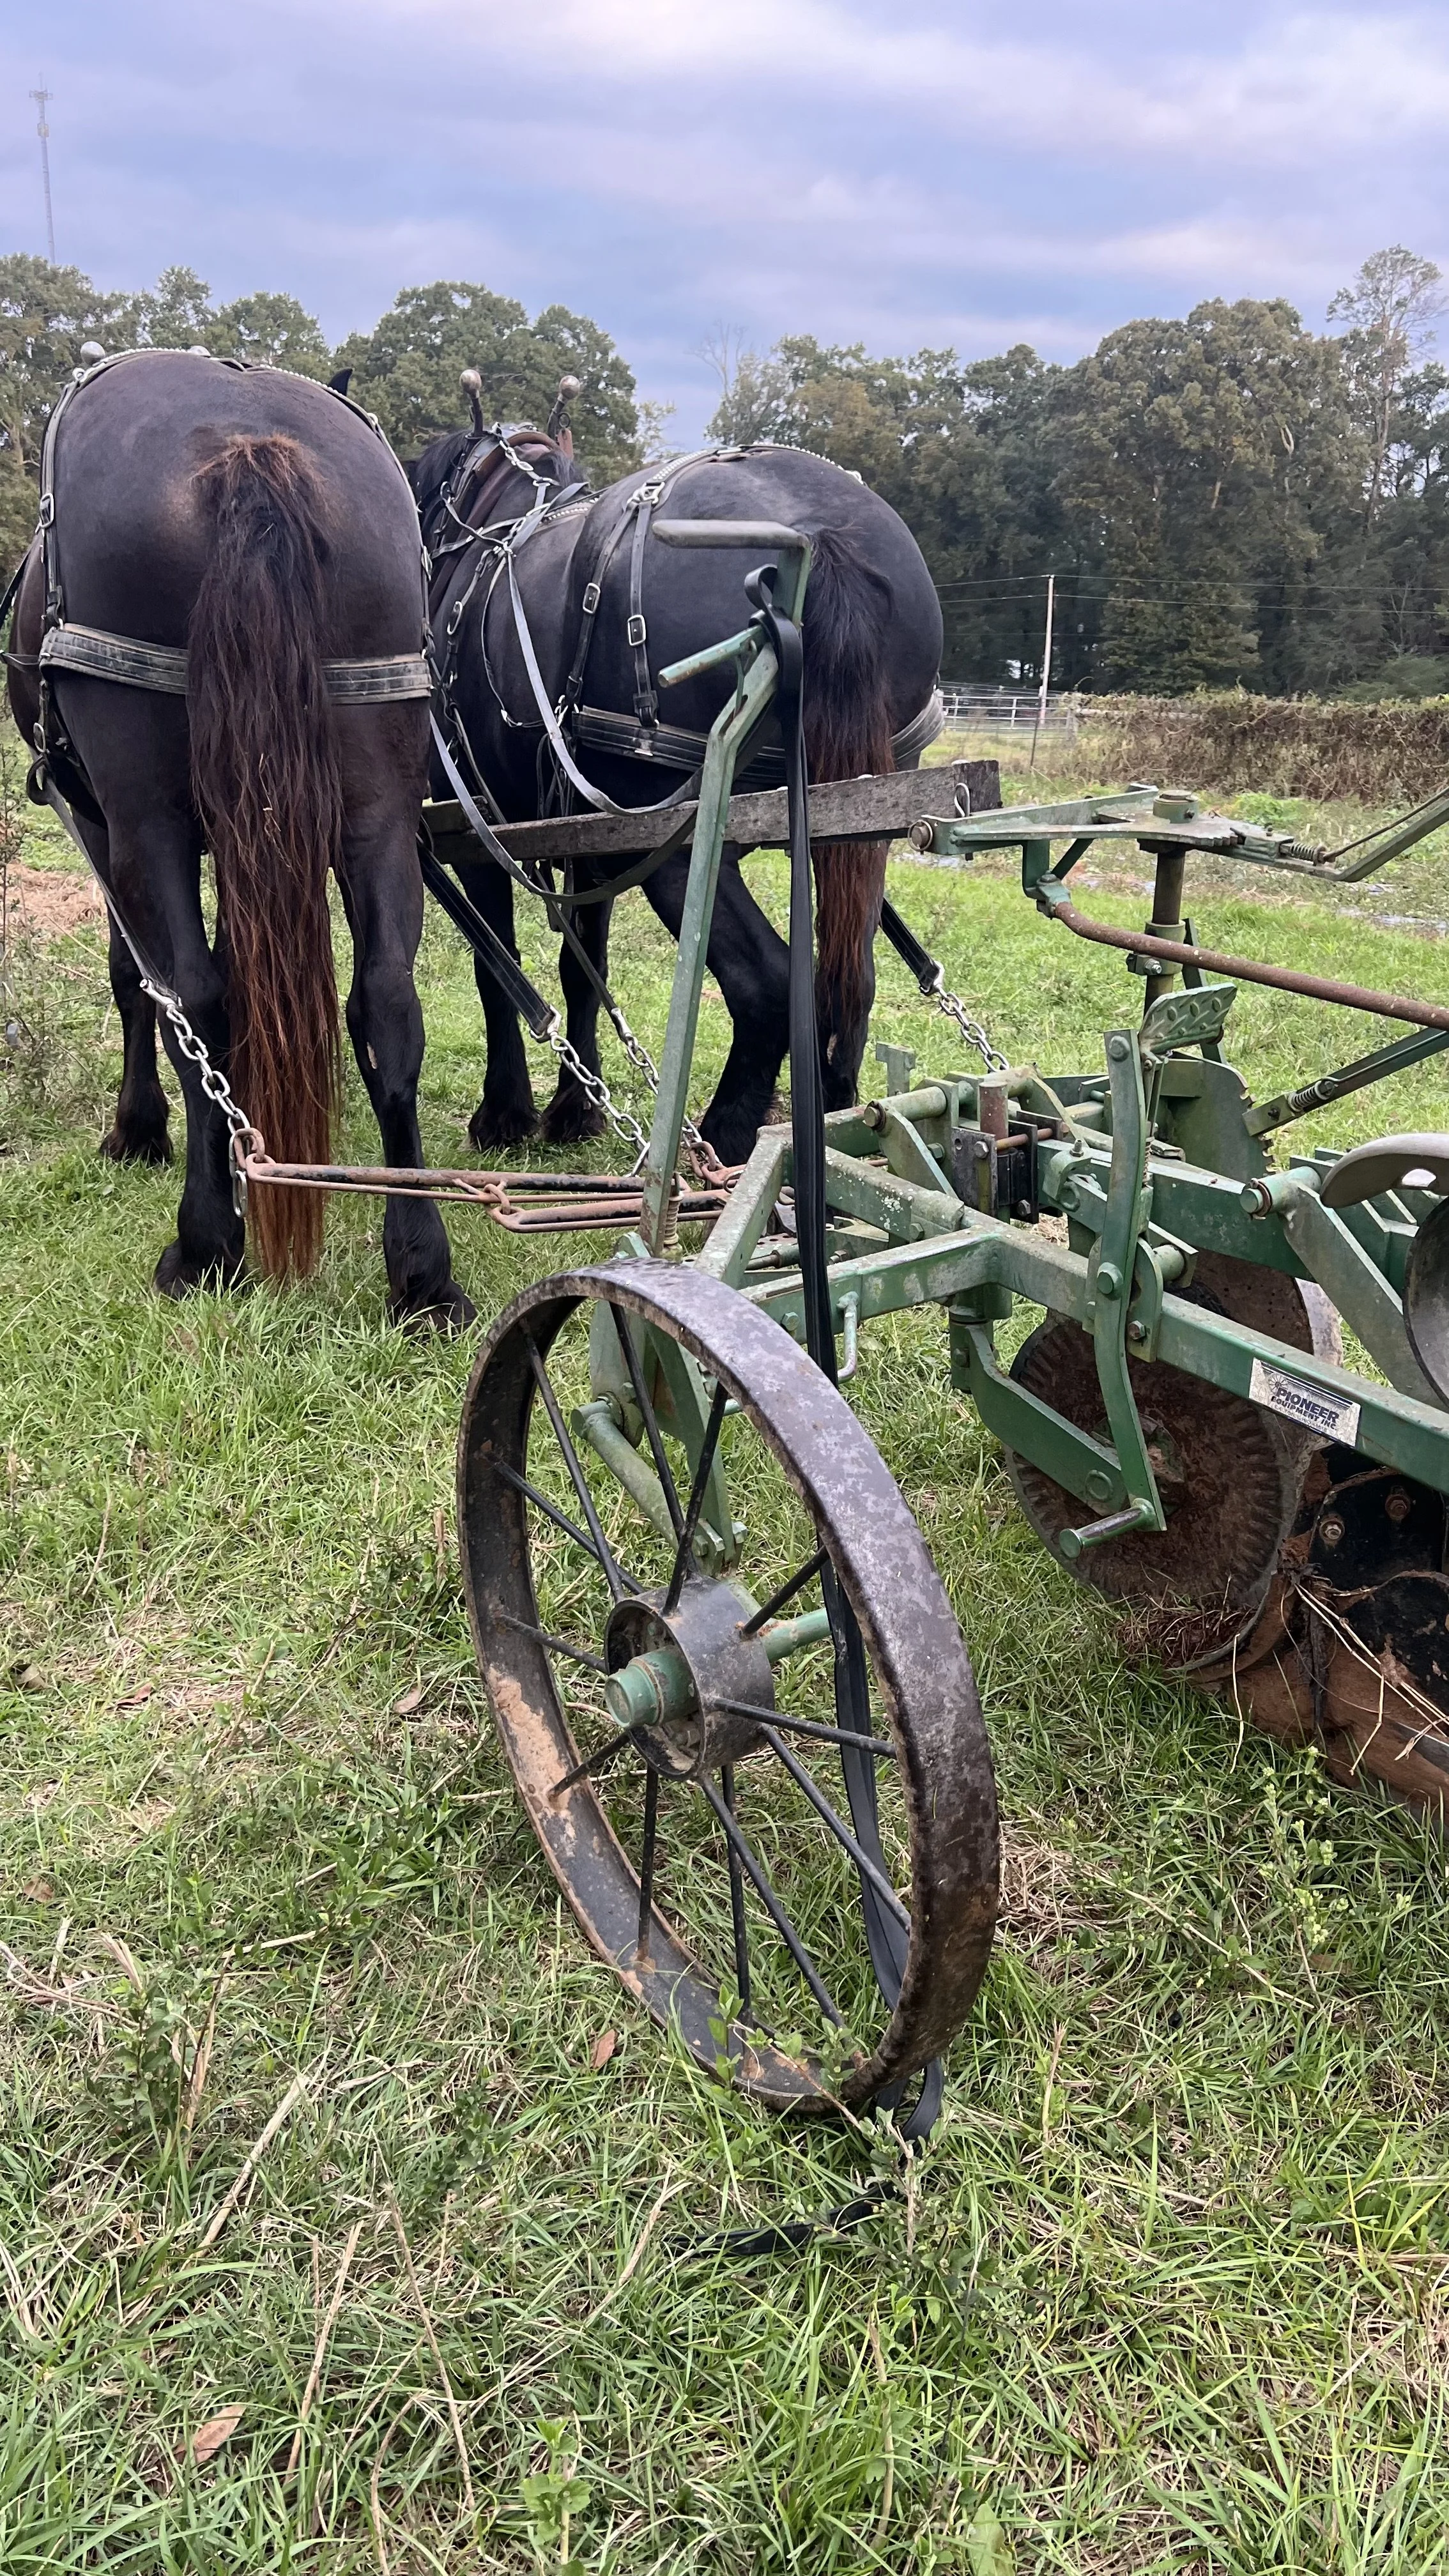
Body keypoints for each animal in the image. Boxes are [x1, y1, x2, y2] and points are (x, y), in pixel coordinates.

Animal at [6, 349, 474, 1328]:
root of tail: (248, 445)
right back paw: (421, 1270)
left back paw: (205, 1246)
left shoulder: (109, 825)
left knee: (196, 1001)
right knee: (387, 1004)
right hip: (376, 800)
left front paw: (141, 1132)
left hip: (145, 815)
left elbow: (138, 983)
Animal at [415, 400, 944, 1166]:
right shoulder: (592, 843)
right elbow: (582, 970)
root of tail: (820, 534)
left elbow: (498, 969)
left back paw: (727, 1142)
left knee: (768, 983)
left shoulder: (478, 829)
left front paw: (504, 1115)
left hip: (679, 846)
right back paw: (837, 1125)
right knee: (851, 981)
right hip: (851, 821)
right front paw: (576, 1111)